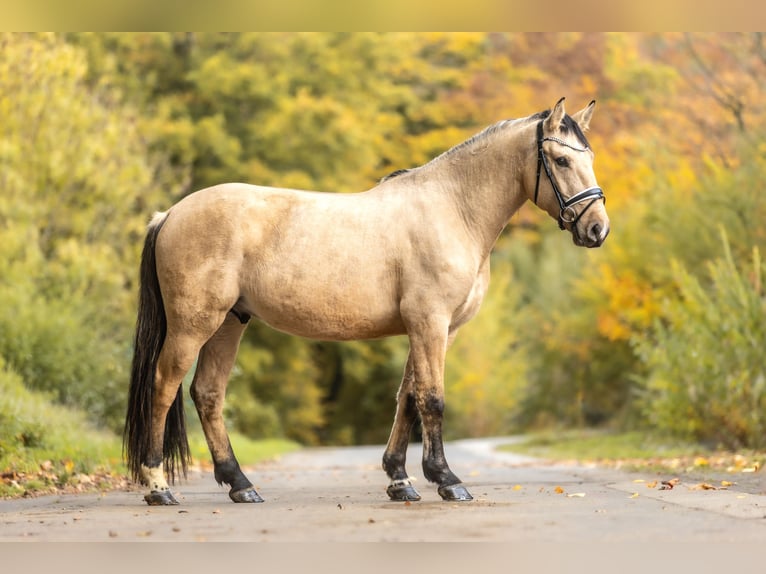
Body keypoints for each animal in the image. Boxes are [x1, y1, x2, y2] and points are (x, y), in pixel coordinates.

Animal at [124, 97, 610, 506]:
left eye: (588, 158)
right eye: (562, 160)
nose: (597, 229)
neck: (452, 209)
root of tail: (170, 214)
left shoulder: (435, 328)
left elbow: (408, 398)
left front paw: (400, 480)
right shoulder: (430, 322)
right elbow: (432, 399)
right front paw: (447, 481)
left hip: (230, 322)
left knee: (207, 394)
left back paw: (241, 485)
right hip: (193, 325)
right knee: (164, 386)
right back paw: (159, 487)